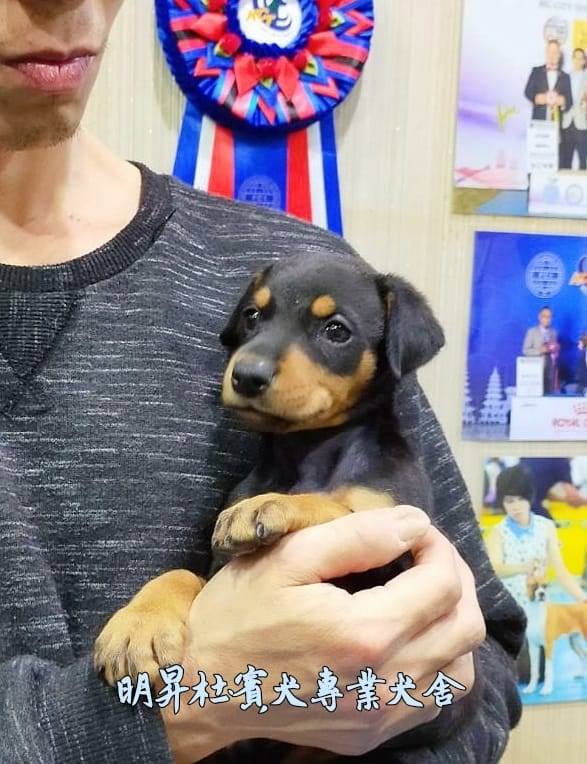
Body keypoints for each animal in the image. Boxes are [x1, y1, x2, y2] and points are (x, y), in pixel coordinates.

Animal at [94, 251, 478, 759]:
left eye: (336, 330)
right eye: (253, 316)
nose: (247, 376)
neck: (307, 452)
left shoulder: (399, 546)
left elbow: (335, 506)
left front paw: (269, 505)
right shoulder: (217, 567)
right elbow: (181, 573)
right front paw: (138, 626)